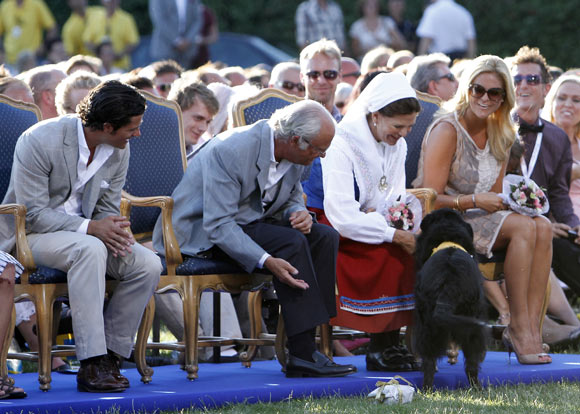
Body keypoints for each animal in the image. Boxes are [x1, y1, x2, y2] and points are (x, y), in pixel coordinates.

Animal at [414, 209, 488, 390]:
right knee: (471, 361)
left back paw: (427, 388)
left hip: (428, 325)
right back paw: (477, 387)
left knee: (429, 361)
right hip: (471, 321)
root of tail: (449, 282)